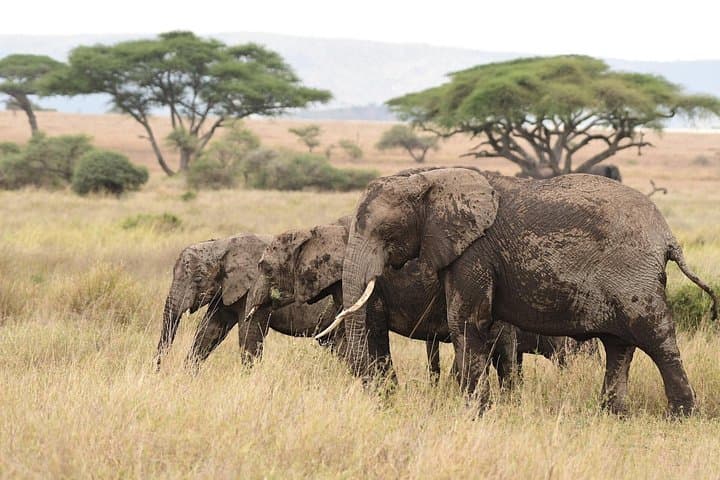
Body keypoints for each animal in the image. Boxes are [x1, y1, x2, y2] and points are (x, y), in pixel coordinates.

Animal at [154, 234, 337, 371]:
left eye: (198, 279)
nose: (157, 370)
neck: (223, 246)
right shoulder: (226, 290)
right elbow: (209, 330)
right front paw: (188, 375)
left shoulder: (256, 287)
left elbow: (249, 332)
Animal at [329, 167, 717, 415]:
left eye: (385, 233)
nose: (381, 396)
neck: (427, 182)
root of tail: (668, 236)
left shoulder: (474, 252)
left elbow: (466, 322)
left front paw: (474, 414)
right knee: (618, 345)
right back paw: (613, 415)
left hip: (632, 275)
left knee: (655, 338)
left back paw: (682, 416)